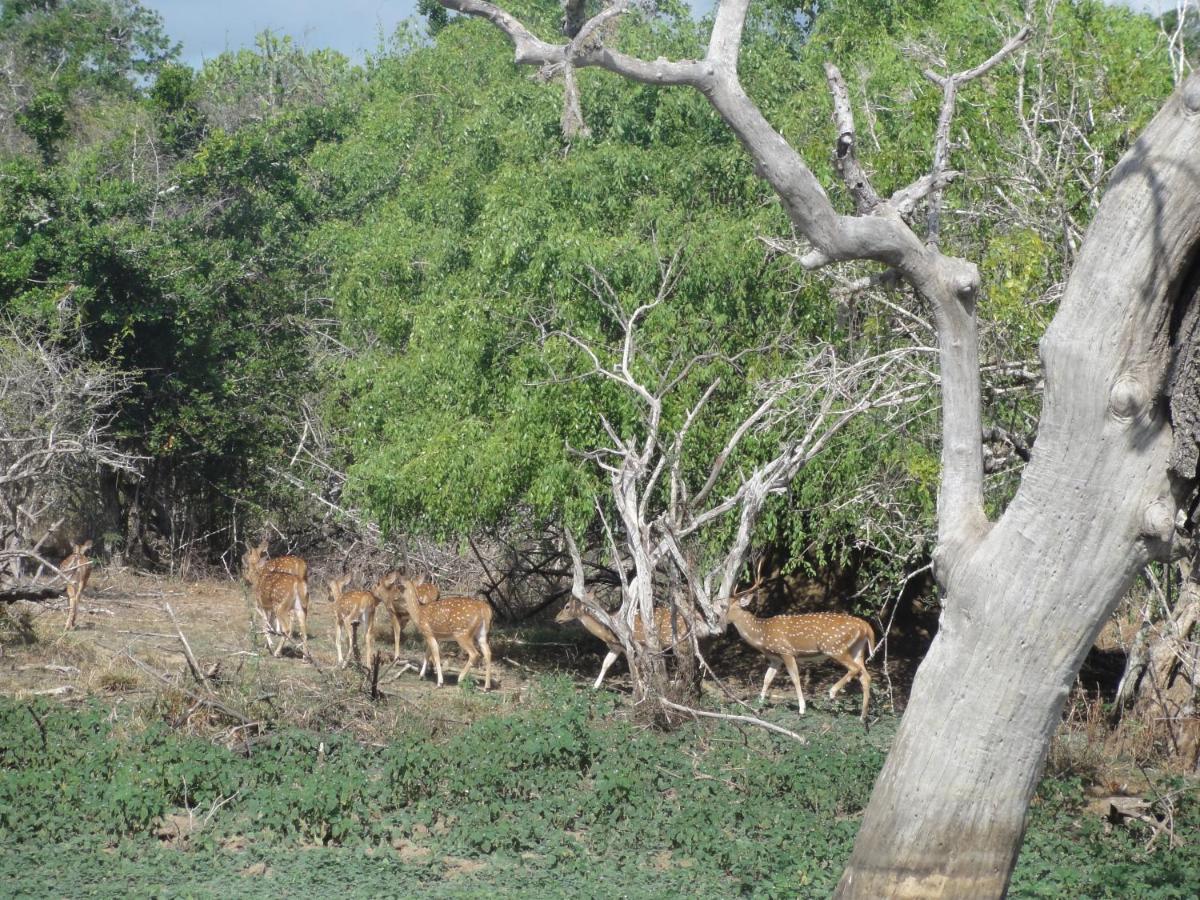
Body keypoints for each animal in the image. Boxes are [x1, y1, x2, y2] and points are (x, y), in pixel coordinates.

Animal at [554, 595, 696, 696]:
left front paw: (641, 690)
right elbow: (606, 664)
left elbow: (635, 667)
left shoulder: (629, 646)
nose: (556, 618)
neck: (606, 633)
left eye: (567, 606)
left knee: (687, 662)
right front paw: (594, 687)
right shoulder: (615, 648)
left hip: (679, 640)